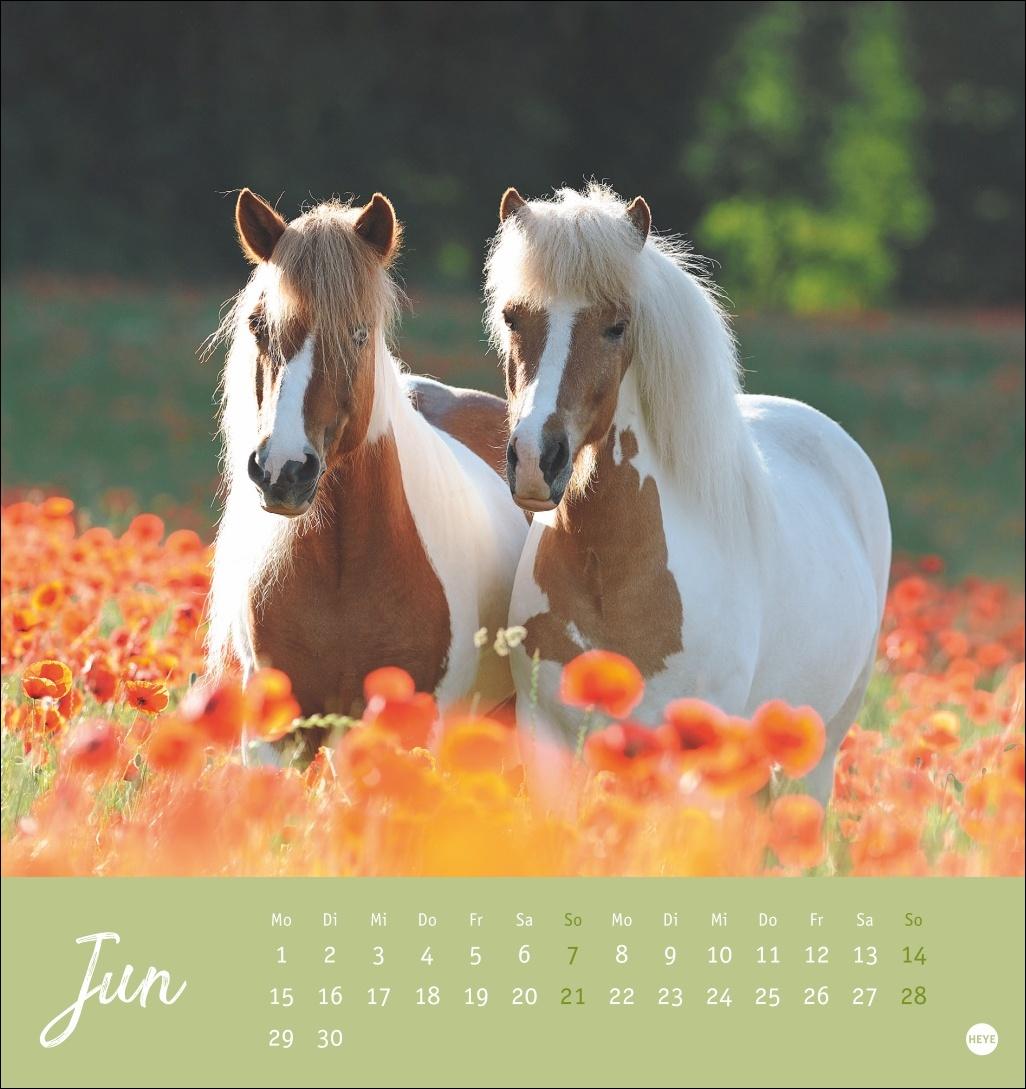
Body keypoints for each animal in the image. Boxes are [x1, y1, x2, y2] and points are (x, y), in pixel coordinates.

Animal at [487, 184, 891, 802]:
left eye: (616, 325)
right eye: (513, 317)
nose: (536, 460)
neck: (613, 578)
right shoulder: (550, 746)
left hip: (815, 762)